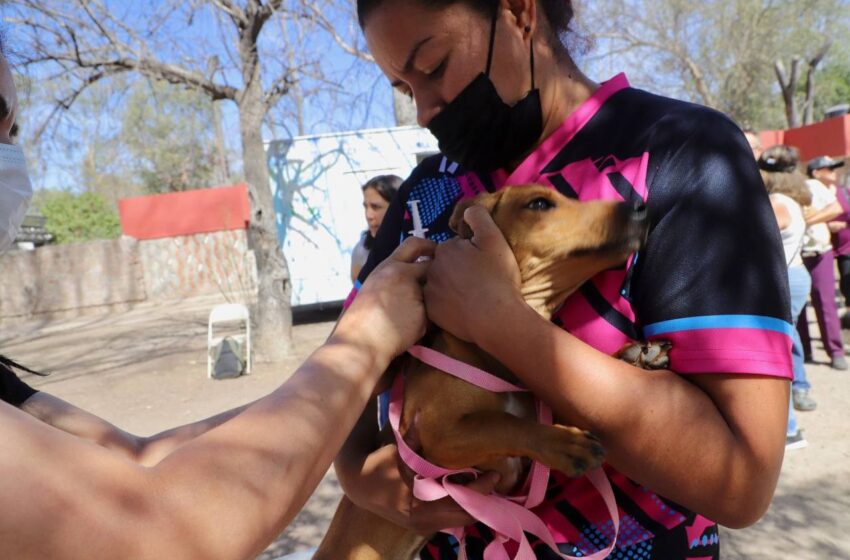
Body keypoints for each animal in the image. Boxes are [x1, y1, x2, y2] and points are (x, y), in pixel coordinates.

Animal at [316, 186, 648, 556]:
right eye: (539, 204)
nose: (640, 206)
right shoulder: (440, 436)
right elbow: (503, 422)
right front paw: (566, 443)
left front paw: (632, 356)